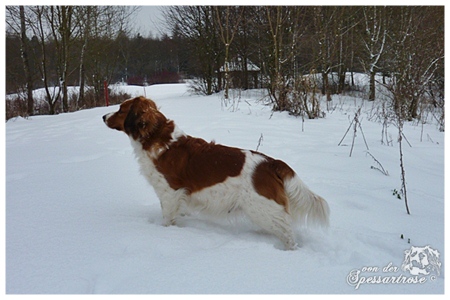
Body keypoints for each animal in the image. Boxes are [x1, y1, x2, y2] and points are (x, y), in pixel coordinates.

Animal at [102, 96, 328, 251]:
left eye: (120, 110)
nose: (103, 116)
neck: (157, 138)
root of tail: (271, 162)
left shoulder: (170, 192)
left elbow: (167, 218)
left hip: (262, 208)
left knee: (288, 234)